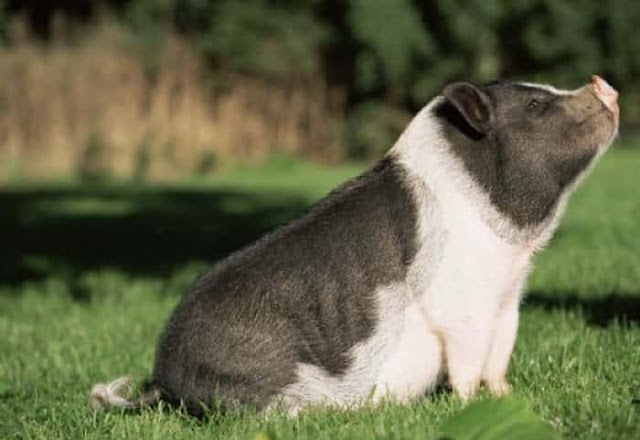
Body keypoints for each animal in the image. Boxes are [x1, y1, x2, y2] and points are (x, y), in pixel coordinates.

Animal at [91, 75, 620, 416]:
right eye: (535, 107)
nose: (603, 84)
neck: (513, 252)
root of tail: (163, 378)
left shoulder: (508, 300)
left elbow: (499, 357)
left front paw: (509, 397)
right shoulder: (463, 304)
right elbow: (469, 363)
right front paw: (472, 405)